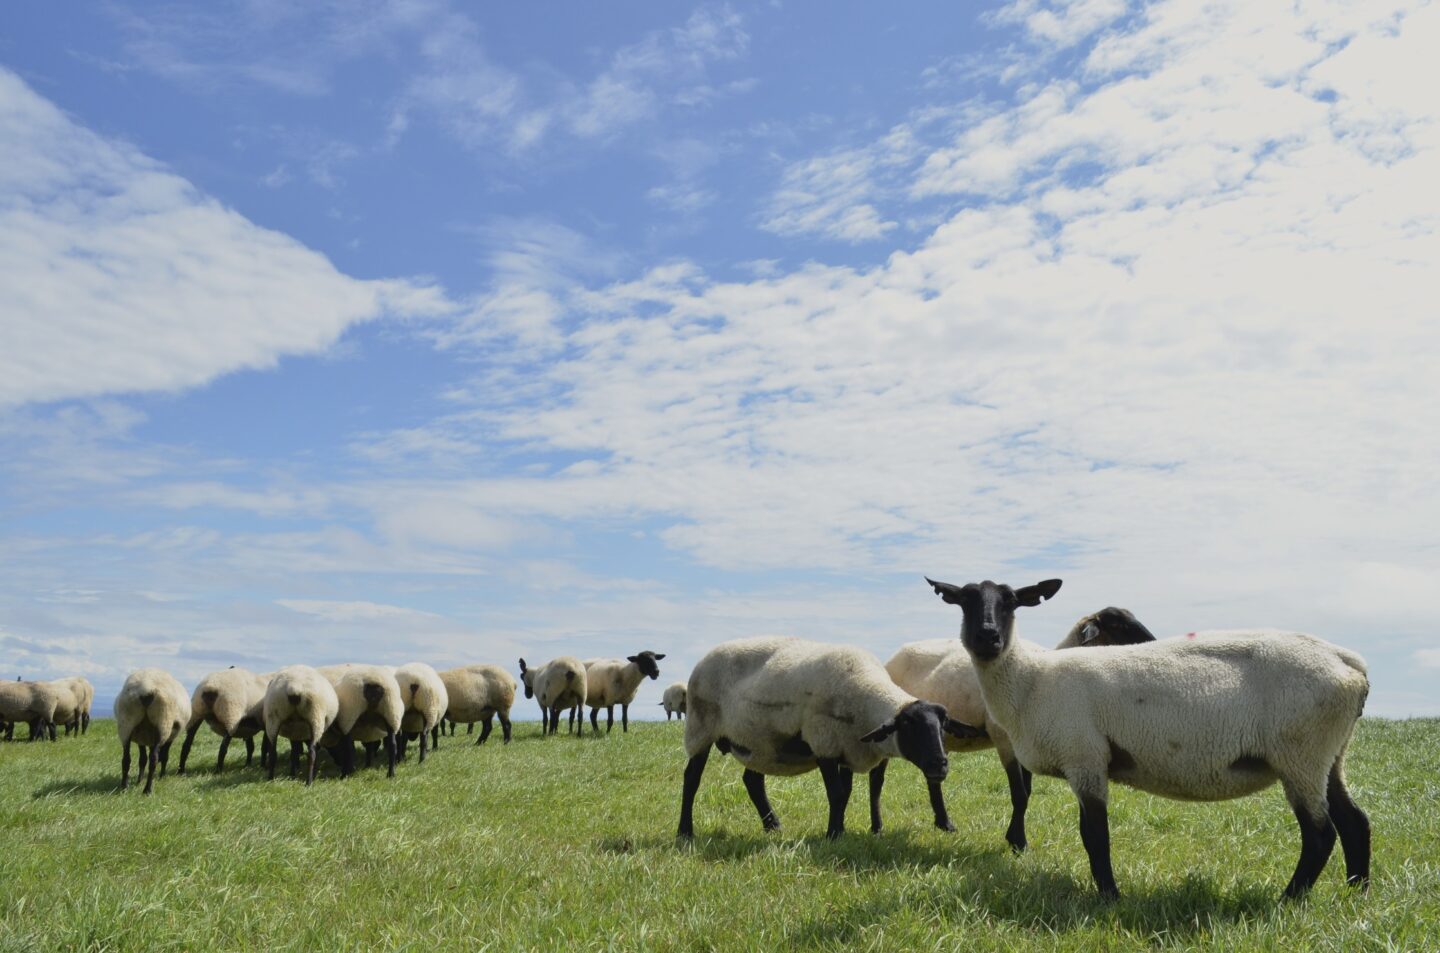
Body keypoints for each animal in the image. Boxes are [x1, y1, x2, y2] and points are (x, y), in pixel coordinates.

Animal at [679, 639, 984, 840]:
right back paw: (685, 831)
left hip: (758, 742)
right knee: (691, 779)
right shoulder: (824, 742)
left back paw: (773, 826)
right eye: (909, 726)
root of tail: (706, 656)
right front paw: (833, 834)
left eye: (943, 726)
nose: (939, 766)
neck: (867, 696)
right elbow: (836, 793)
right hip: (700, 728)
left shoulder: (847, 748)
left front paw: (841, 828)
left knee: (753, 781)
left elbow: (845, 793)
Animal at [869, 607, 1152, 846]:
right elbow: (1019, 793)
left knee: (933, 778)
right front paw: (1018, 842)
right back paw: (878, 828)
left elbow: (1027, 791)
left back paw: (944, 823)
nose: (1153, 642)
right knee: (877, 777)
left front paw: (1013, 837)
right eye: (1118, 624)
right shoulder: (1003, 739)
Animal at [921, 575, 1370, 904]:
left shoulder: (1085, 757)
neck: (1032, 679)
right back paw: (1357, 894)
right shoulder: (1084, 761)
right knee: (1355, 821)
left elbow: (1095, 836)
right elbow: (1089, 833)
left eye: (1012, 601)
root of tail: (1349, 663)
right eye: (964, 601)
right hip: (1330, 756)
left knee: (1321, 834)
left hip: (1301, 755)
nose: (987, 638)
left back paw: (1287, 900)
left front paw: (1110, 898)